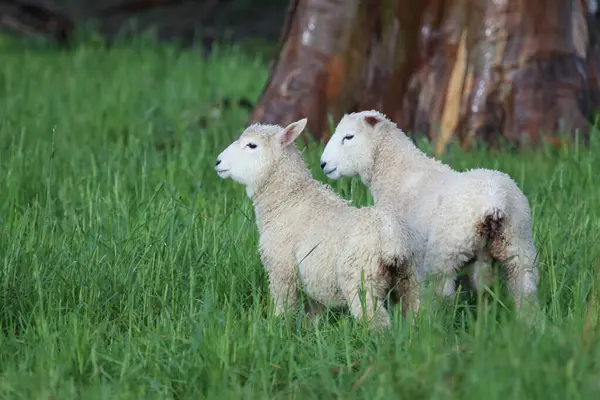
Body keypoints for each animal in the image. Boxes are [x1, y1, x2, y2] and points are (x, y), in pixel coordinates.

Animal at [217, 118, 422, 328]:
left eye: (252, 145)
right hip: (409, 280)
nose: (218, 161)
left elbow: (283, 307)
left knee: (377, 322)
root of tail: (391, 238)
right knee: (414, 313)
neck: (288, 199)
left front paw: (277, 327)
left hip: (362, 281)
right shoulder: (312, 283)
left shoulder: (282, 270)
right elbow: (312, 316)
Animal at [322, 110, 540, 318]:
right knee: (524, 289)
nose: (323, 164)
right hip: (518, 244)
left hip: (446, 250)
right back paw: (525, 323)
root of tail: (494, 201)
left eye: (349, 137)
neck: (398, 173)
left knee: (444, 293)